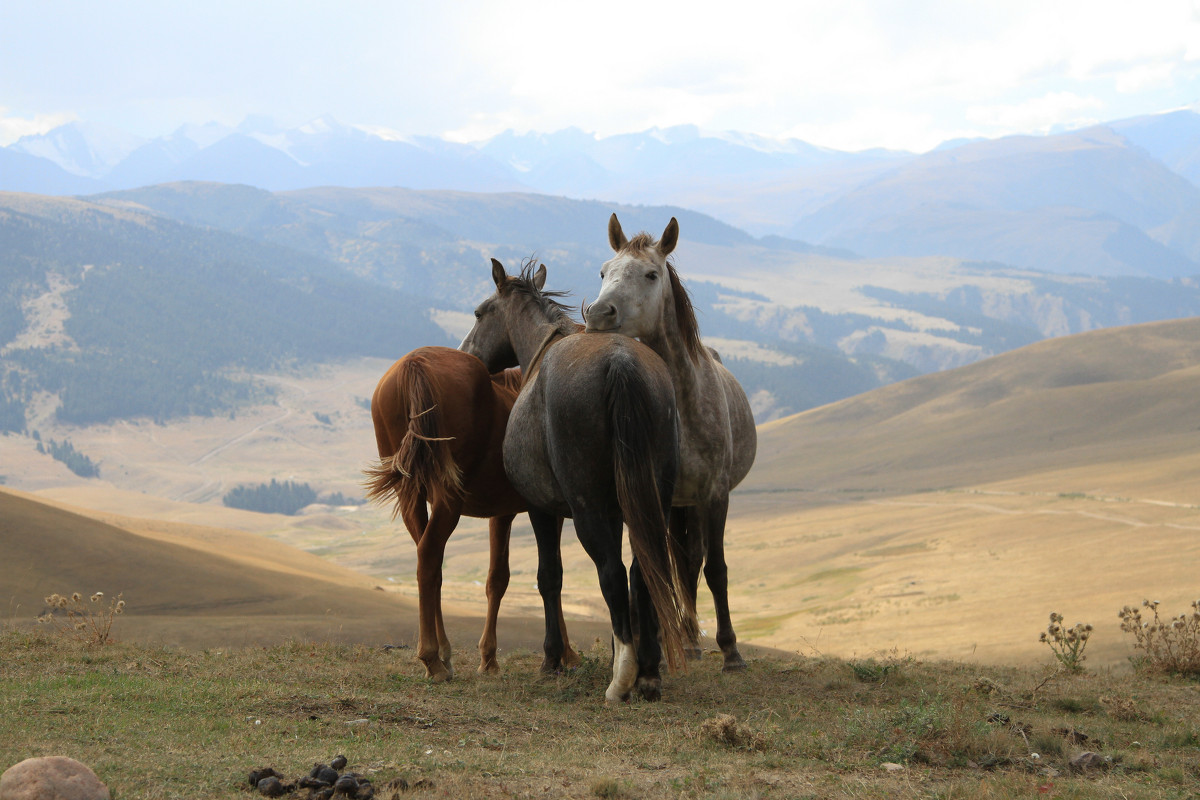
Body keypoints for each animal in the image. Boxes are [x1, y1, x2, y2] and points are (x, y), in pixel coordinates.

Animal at [360, 345, 576, 681]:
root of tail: (416, 362)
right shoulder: (542, 513)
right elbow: (552, 575)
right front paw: (563, 653)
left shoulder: (501, 515)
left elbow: (496, 580)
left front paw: (488, 658)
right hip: (448, 499)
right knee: (430, 555)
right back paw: (432, 658)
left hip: (411, 495)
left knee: (429, 564)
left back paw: (442, 654)